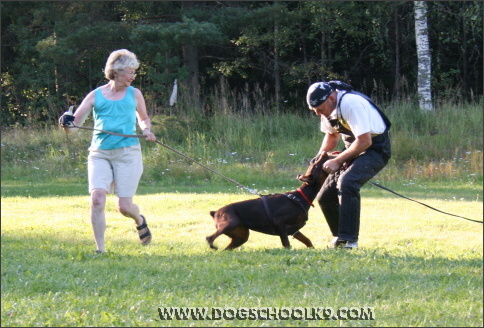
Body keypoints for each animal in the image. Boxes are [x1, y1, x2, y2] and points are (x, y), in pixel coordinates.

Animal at [206, 152, 334, 250]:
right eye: (315, 163)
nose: (323, 153)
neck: (301, 197)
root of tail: (215, 212)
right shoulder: (280, 223)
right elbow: (287, 244)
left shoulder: (294, 230)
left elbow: (307, 241)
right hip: (229, 223)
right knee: (209, 238)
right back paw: (213, 247)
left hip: (240, 236)